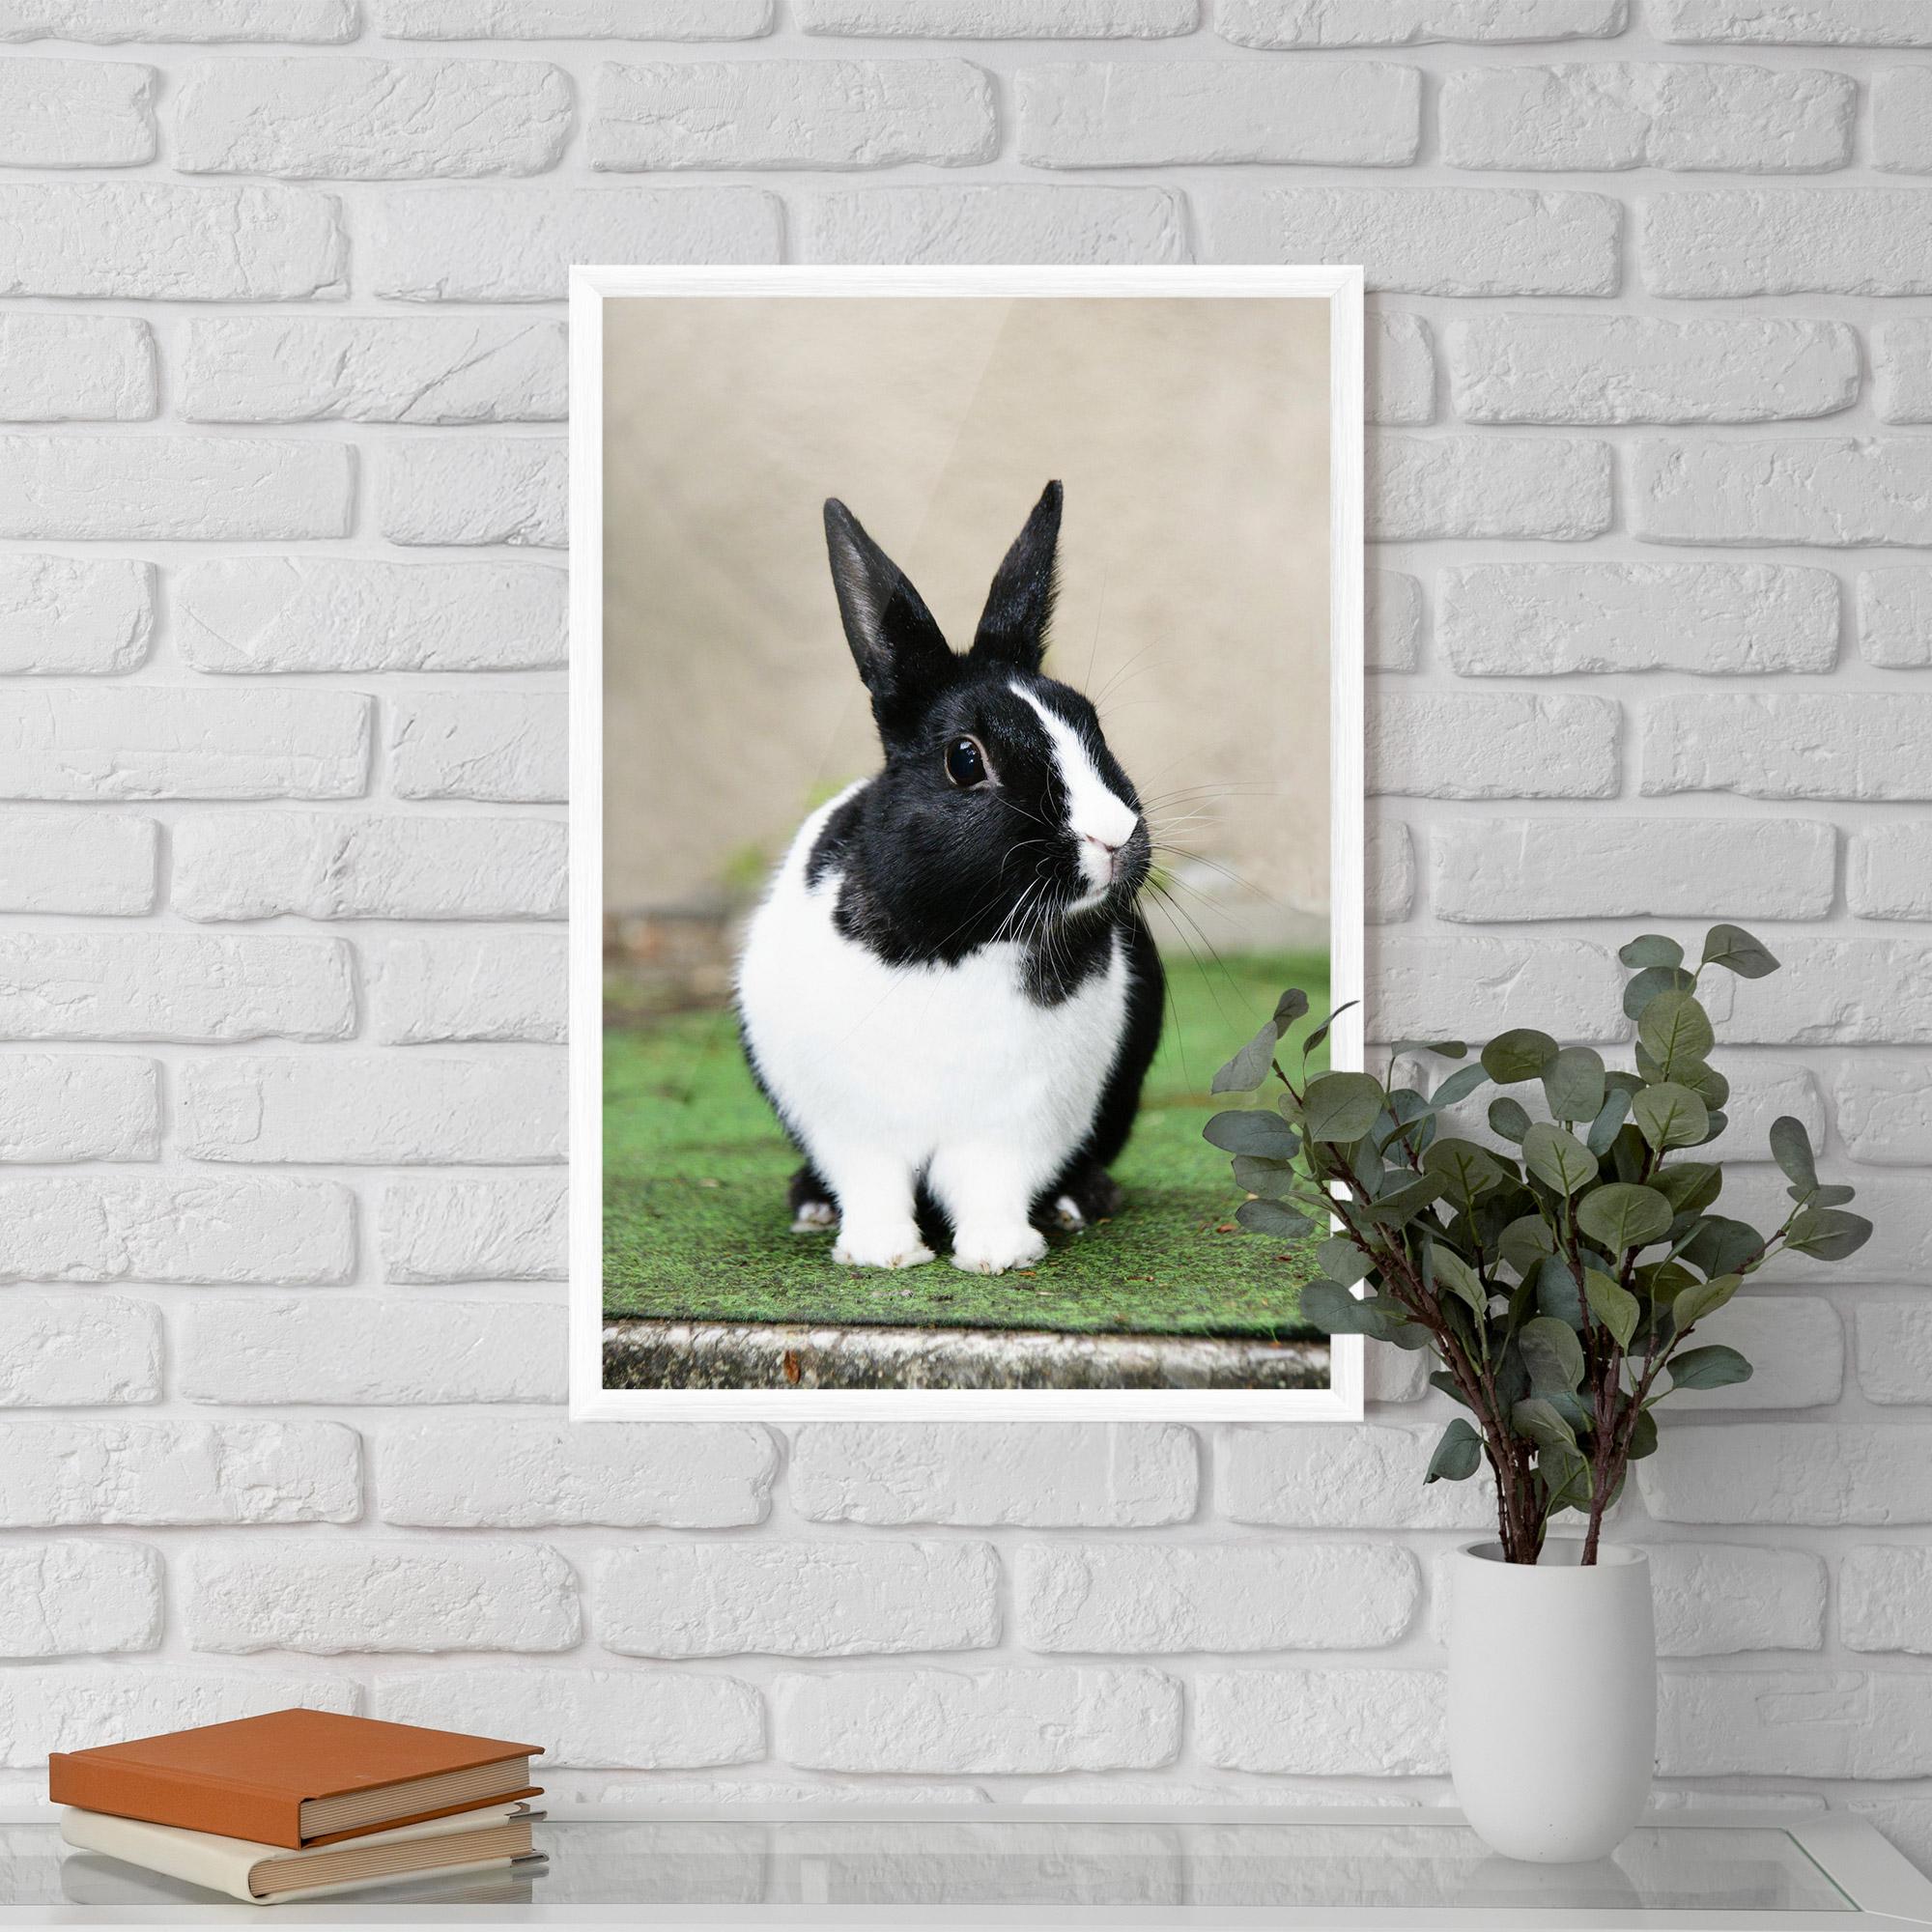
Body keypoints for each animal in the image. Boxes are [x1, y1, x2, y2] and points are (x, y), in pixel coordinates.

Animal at [735, 480, 1164, 1275]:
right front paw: (881, 1254)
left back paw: (1079, 1201)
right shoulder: (853, 1125)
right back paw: (811, 1206)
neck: (958, 940)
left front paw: (999, 1255)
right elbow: (872, 1184)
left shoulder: (1017, 1123)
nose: (1115, 837)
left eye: (1091, 724)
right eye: (966, 760)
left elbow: (992, 1184)